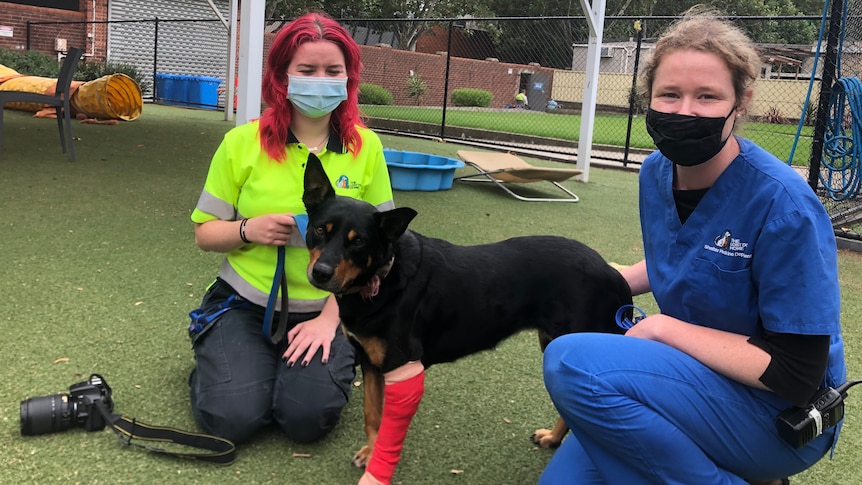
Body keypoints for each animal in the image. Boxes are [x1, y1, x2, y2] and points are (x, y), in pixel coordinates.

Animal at [304, 154, 636, 472]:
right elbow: (372, 416)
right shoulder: (370, 364)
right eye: (319, 230)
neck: (383, 277)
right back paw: (552, 438)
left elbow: (385, 424)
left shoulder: (400, 365)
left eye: (359, 241)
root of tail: (613, 273)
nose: (320, 273)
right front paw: (370, 452)